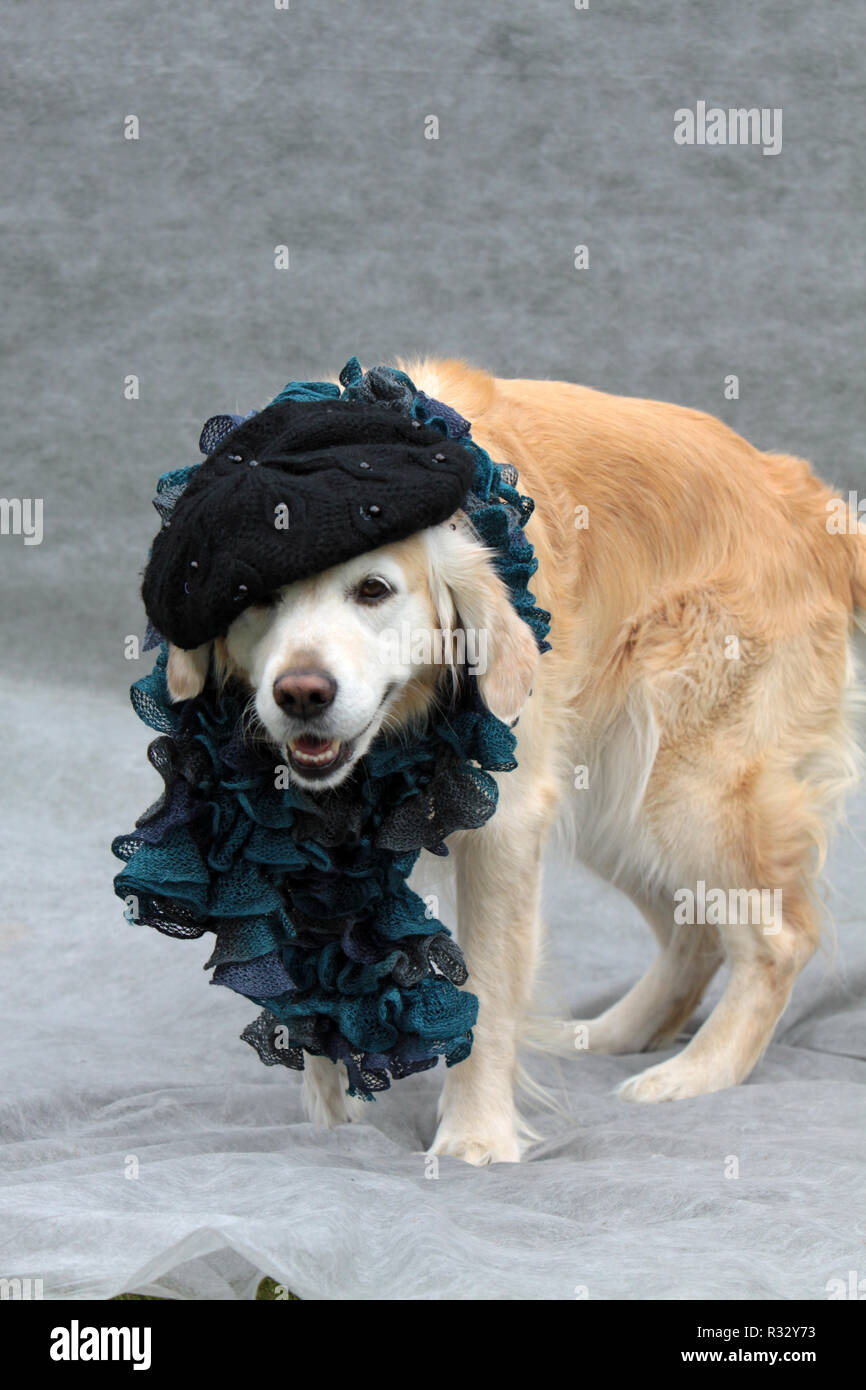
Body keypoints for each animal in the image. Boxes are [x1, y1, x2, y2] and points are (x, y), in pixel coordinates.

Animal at [164, 358, 866, 1162]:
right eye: (256, 597)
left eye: (373, 589)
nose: (302, 693)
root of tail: (809, 499)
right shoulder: (296, 837)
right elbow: (315, 994)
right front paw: (330, 1124)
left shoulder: (502, 827)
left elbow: (488, 994)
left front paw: (474, 1137)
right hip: (617, 801)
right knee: (693, 930)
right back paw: (616, 1035)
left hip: (689, 786)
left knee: (779, 938)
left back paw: (699, 1071)